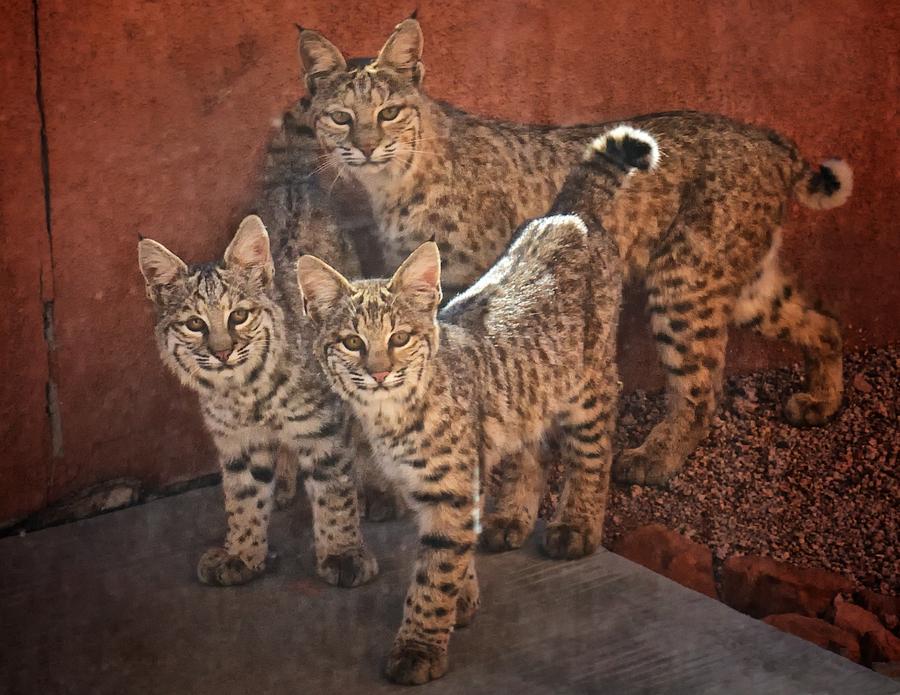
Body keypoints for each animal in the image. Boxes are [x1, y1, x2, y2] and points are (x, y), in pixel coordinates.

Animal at [140, 216, 376, 588]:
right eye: (194, 323)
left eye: (238, 316)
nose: (222, 353)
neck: (245, 389)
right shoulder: (239, 439)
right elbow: (244, 497)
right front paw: (241, 554)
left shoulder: (322, 429)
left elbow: (334, 493)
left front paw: (343, 555)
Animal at [298, 126, 656, 684]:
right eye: (352, 343)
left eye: (400, 338)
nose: (378, 373)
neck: (391, 414)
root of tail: (567, 215)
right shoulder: (438, 487)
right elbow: (453, 554)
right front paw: (462, 602)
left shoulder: (449, 488)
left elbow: (434, 574)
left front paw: (420, 646)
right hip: (530, 390)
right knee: (532, 444)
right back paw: (511, 518)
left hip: (588, 382)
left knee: (592, 453)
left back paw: (576, 525)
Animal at [300, 16, 852, 484]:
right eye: (341, 118)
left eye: (389, 113)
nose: (366, 148)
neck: (393, 179)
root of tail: (771, 139)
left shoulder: (469, 283)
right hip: (742, 282)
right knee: (824, 321)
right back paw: (821, 400)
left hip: (685, 278)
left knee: (701, 387)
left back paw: (654, 458)